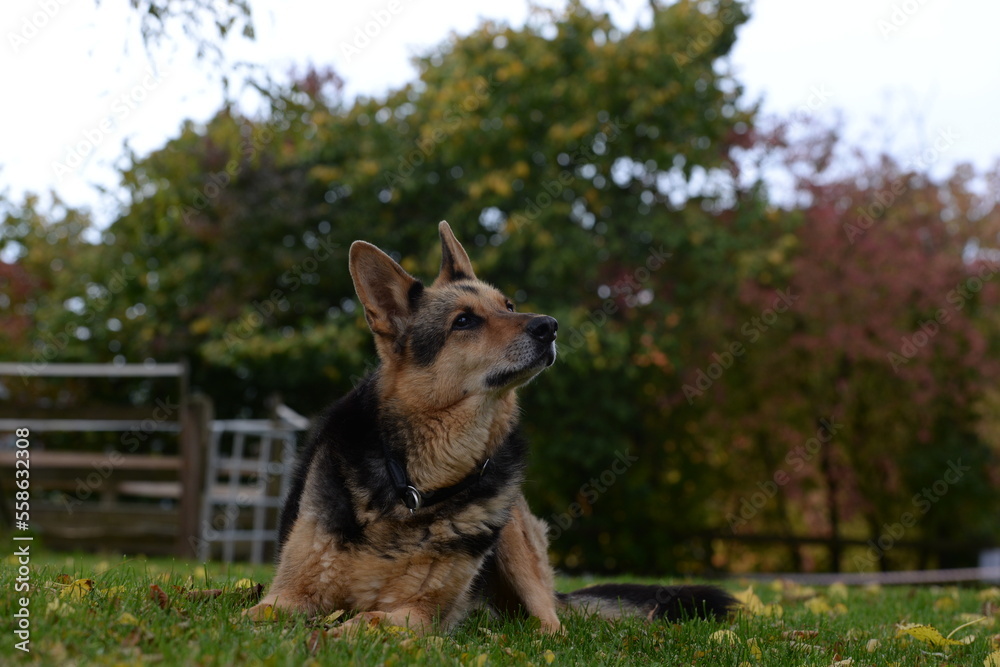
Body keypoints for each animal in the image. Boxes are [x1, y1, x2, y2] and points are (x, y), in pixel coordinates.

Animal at [248, 222, 736, 636]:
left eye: (509, 306)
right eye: (463, 321)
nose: (549, 326)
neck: (416, 486)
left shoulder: (420, 612)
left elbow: (367, 620)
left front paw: (334, 634)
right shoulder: (286, 595)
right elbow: (256, 615)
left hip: (516, 541)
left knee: (551, 623)